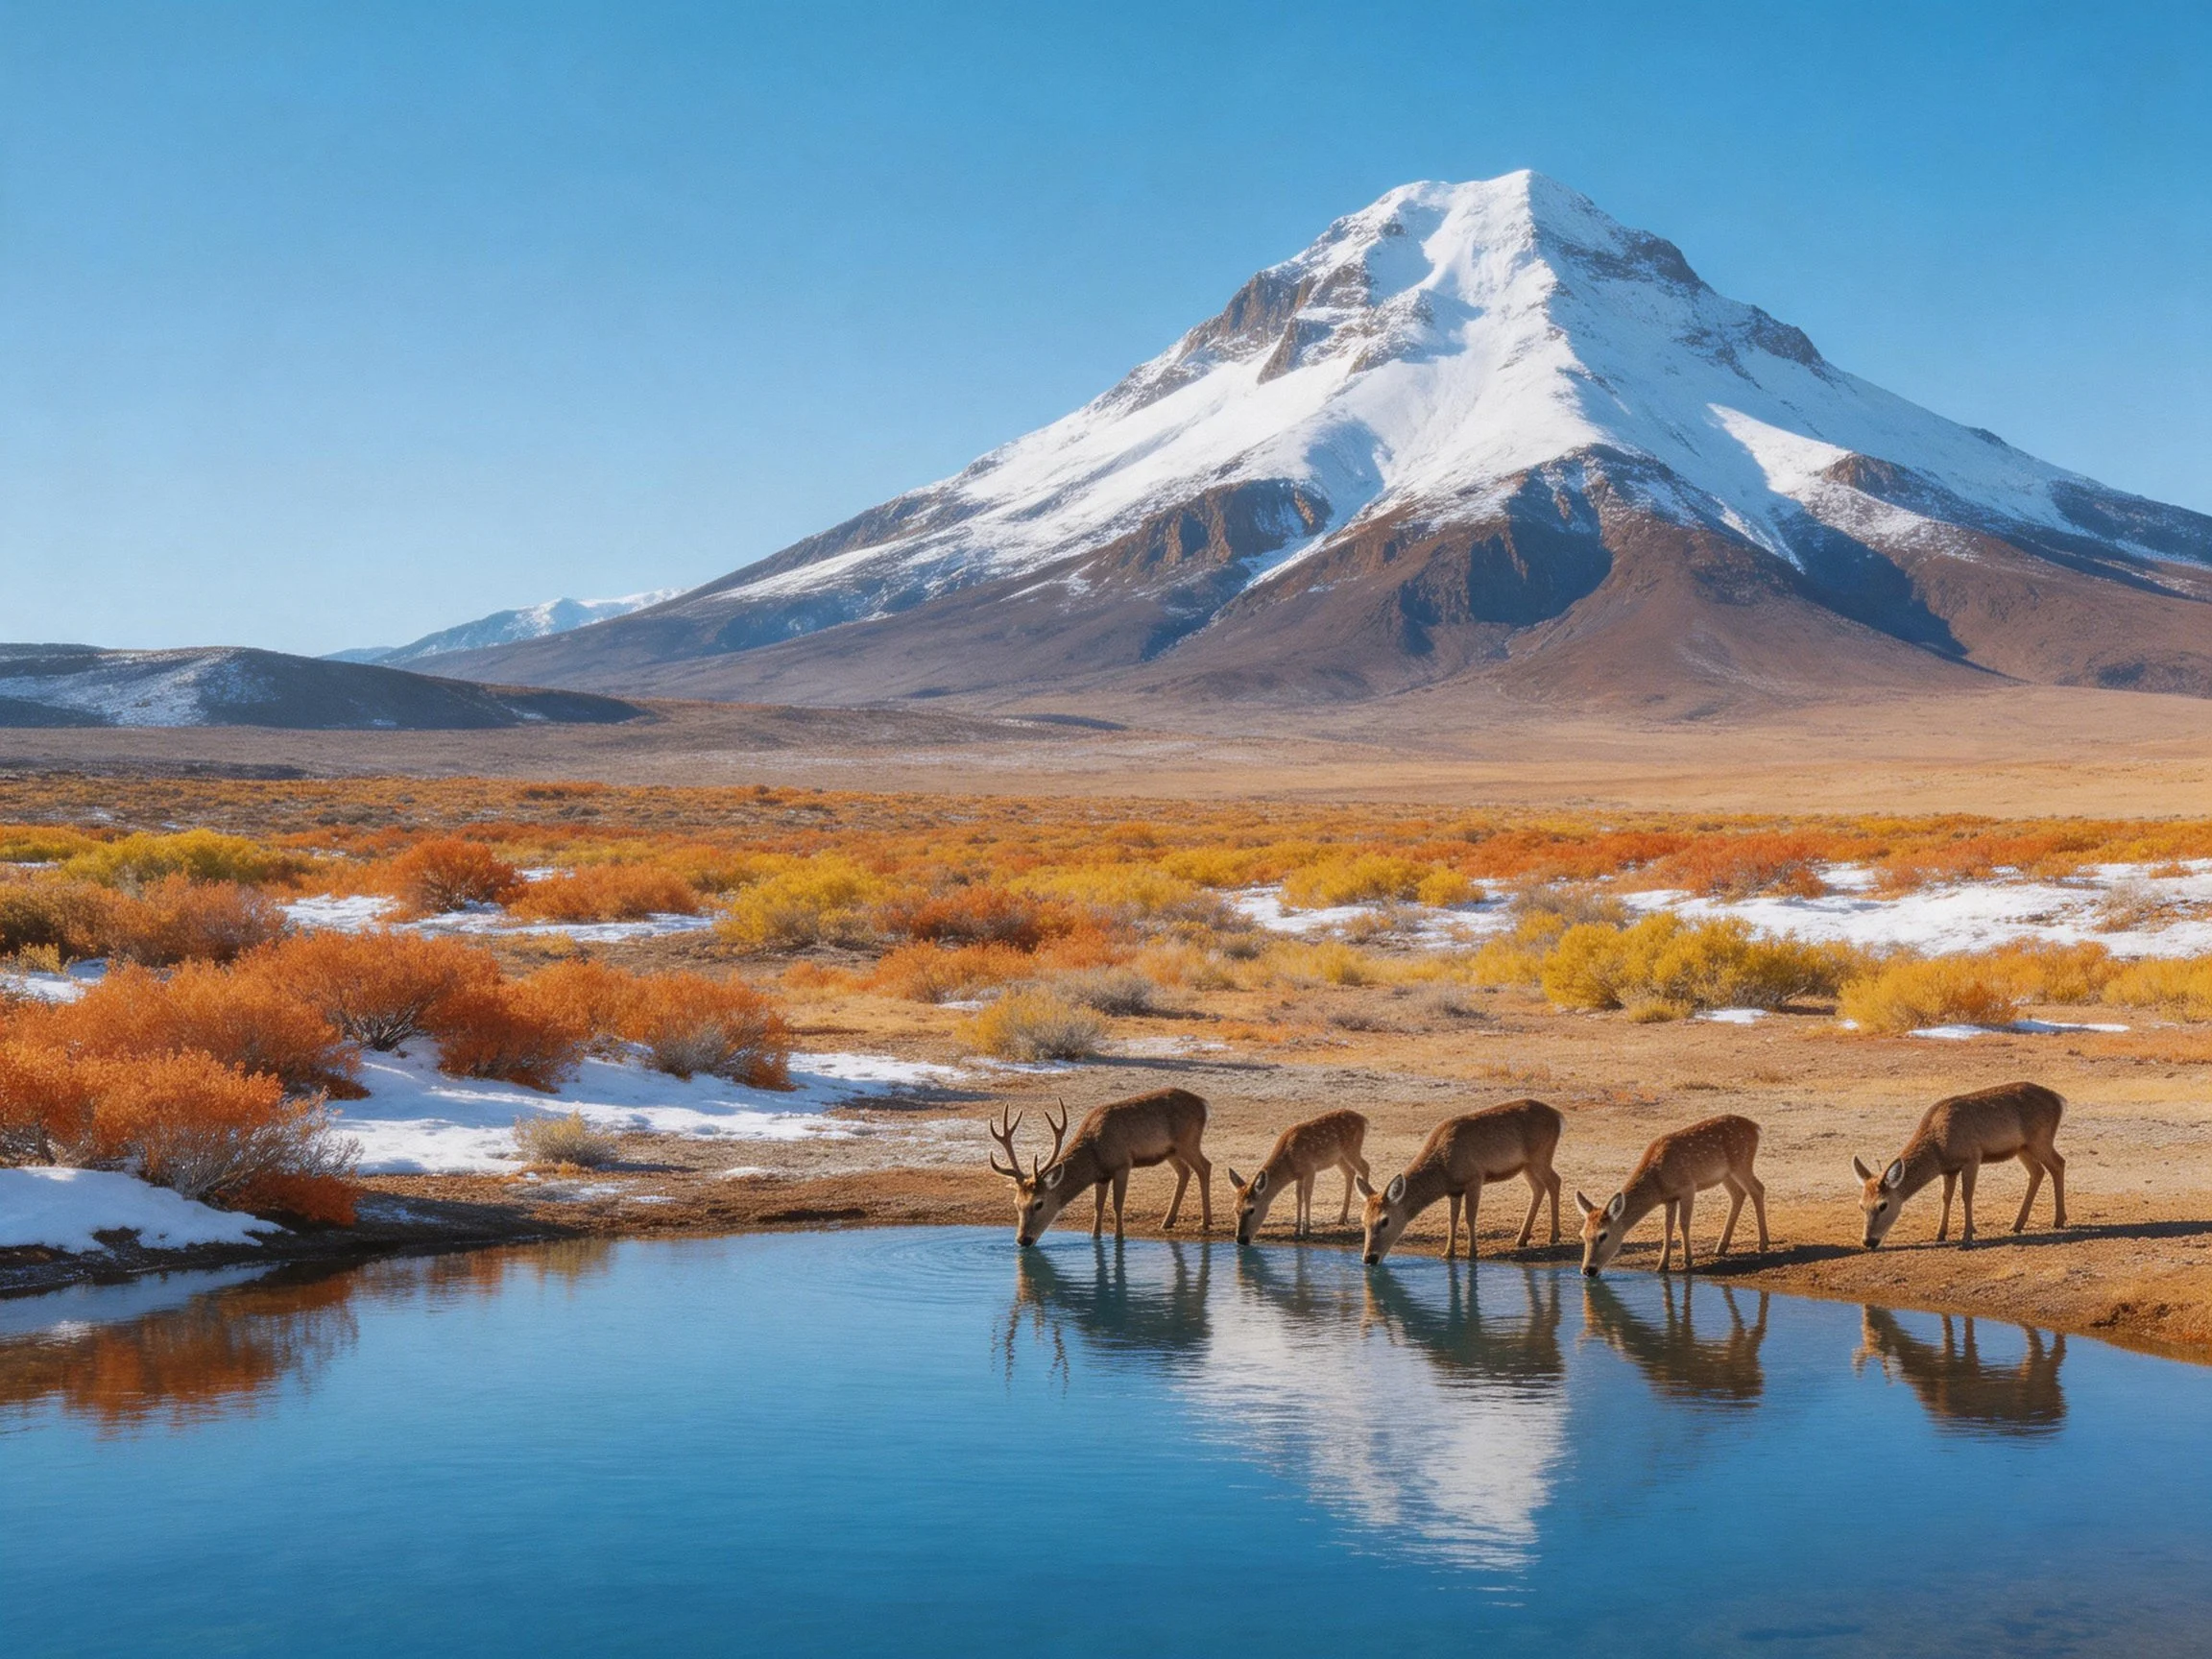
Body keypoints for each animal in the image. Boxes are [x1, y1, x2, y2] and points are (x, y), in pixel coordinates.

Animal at [987, 1088, 1212, 1246]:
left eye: (1039, 1203)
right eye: (1016, 1204)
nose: (1023, 1240)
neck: (1094, 1154)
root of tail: (1203, 1103)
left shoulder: (1123, 1164)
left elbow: (1117, 1205)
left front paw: (1119, 1237)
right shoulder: (1101, 1177)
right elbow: (1098, 1207)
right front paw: (1095, 1237)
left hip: (1188, 1141)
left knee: (1205, 1166)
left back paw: (1205, 1221)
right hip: (1171, 1151)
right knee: (1185, 1171)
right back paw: (1168, 1221)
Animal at [1228, 1109, 1371, 1244]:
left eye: (1251, 1209)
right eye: (1235, 1209)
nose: (1241, 1239)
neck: (1289, 1164)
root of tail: (1364, 1119)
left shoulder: (1310, 1169)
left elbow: (1307, 1195)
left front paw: (1307, 1229)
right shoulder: (1299, 1176)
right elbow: (1298, 1196)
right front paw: (1297, 1229)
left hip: (1352, 1148)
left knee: (1365, 1167)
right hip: (1338, 1158)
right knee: (1350, 1172)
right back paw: (1342, 1218)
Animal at [1357, 1099, 1564, 1265]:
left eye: (1385, 1220)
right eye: (1363, 1221)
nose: (1369, 1258)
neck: (1443, 1172)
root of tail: (1559, 1116)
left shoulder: (1475, 1178)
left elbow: (1470, 1216)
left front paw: (1472, 1252)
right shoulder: (1454, 1190)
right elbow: (1453, 1218)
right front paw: (1448, 1252)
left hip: (1541, 1155)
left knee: (1555, 1181)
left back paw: (1553, 1236)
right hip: (1527, 1165)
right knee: (1538, 1187)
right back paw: (1522, 1238)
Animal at [1577, 1113, 1767, 1276]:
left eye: (1603, 1235)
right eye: (1582, 1235)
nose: (1588, 1270)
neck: (1658, 1183)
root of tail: (1756, 1127)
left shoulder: (1688, 1187)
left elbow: (1683, 1223)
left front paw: (1688, 1260)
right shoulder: (1669, 1198)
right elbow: (1667, 1227)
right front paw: (1662, 1265)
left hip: (1741, 1163)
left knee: (1758, 1189)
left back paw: (1763, 1243)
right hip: (1725, 1175)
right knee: (1738, 1194)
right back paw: (1721, 1247)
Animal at [1852, 1081, 2066, 1249]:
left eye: (1883, 1205)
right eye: (1861, 1205)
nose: (1868, 1241)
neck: (1938, 1149)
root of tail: (2059, 1100)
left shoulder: (1972, 1157)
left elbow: (1967, 1195)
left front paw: (1967, 1235)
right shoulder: (1949, 1169)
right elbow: (1946, 1197)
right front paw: (1940, 1234)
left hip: (2040, 1140)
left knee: (2058, 1164)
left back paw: (2059, 1220)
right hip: (2022, 1148)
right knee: (2038, 1171)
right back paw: (2018, 1224)